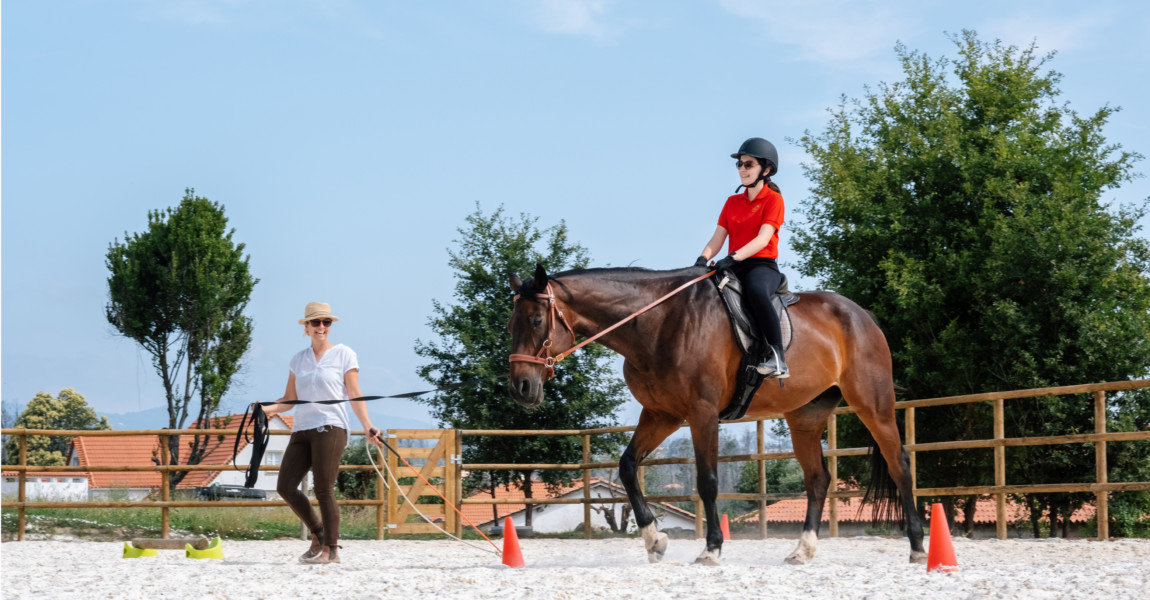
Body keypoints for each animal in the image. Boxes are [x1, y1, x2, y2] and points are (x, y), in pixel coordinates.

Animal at [508, 264, 929, 563]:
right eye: (513, 324)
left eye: (536, 321)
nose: (521, 387)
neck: (657, 324)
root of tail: (861, 315)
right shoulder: (661, 414)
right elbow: (627, 467)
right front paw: (655, 540)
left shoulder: (702, 413)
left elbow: (708, 482)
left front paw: (711, 549)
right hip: (805, 418)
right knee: (818, 479)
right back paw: (802, 550)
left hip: (873, 405)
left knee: (899, 465)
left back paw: (917, 546)